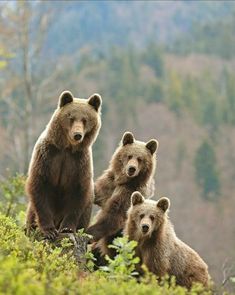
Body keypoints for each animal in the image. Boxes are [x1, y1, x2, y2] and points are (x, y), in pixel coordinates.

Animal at [25, 90, 102, 240]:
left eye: (85, 120)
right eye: (70, 117)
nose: (77, 135)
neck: (67, 148)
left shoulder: (79, 163)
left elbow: (78, 193)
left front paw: (67, 228)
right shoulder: (47, 156)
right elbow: (40, 185)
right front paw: (49, 231)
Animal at [86, 132, 158, 260]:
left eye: (140, 159)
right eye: (129, 156)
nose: (131, 168)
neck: (124, 181)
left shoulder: (128, 192)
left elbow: (114, 216)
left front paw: (89, 232)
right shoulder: (110, 183)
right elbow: (97, 193)